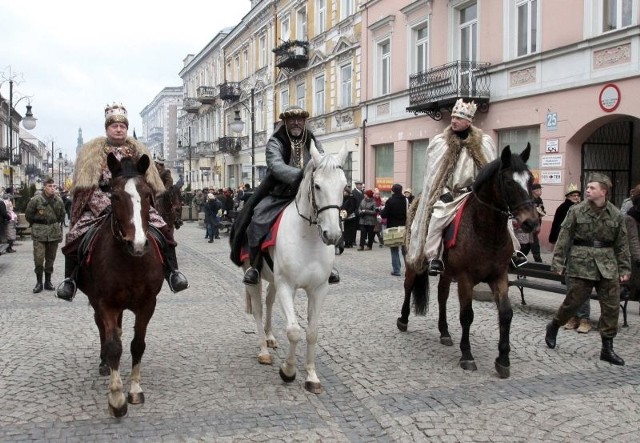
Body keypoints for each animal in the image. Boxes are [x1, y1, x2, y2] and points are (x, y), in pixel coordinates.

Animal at [77, 153, 165, 416]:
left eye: (146, 194)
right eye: (114, 196)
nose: (137, 244)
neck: (130, 260)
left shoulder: (147, 304)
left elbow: (137, 345)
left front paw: (135, 389)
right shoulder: (106, 303)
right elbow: (114, 345)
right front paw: (116, 398)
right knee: (103, 330)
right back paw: (104, 363)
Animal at [244, 140, 344, 394]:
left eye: (344, 186)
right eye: (317, 186)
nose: (332, 235)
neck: (307, 237)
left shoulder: (318, 289)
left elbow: (312, 332)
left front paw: (312, 376)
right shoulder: (286, 286)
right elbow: (294, 331)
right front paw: (288, 371)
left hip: (273, 279)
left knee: (269, 301)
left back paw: (270, 337)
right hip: (254, 276)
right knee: (258, 309)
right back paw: (264, 350)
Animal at [400, 145, 540, 378]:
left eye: (530, 180)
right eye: (509, 182)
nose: (532, 222)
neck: (485, 230)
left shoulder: (499, 276)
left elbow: (506, 313)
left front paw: (503, 359)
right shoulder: (466, 279)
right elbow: (467, 315)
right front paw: (467, 355)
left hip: (447, 272)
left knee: (442, 295)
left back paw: (444, 332)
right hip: (414, 260)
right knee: (409, 286)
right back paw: (402, 320)